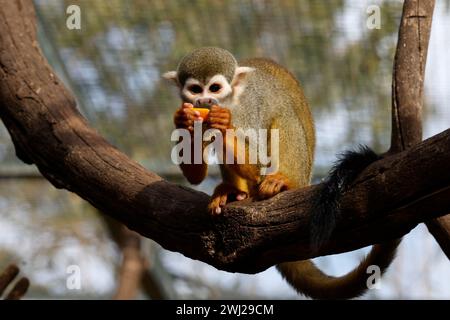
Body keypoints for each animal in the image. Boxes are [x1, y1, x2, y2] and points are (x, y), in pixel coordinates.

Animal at [163, 47, 400, 300]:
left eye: (214, 88)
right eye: (195, 90)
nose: (205, 100)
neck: (230, 103)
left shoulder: (248, 110)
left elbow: (257, 159)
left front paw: (223, 124)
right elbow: (195, 174)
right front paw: (183, 120)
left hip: (300, 173)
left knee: (284, 116)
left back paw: (280, 182)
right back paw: (234, 192)